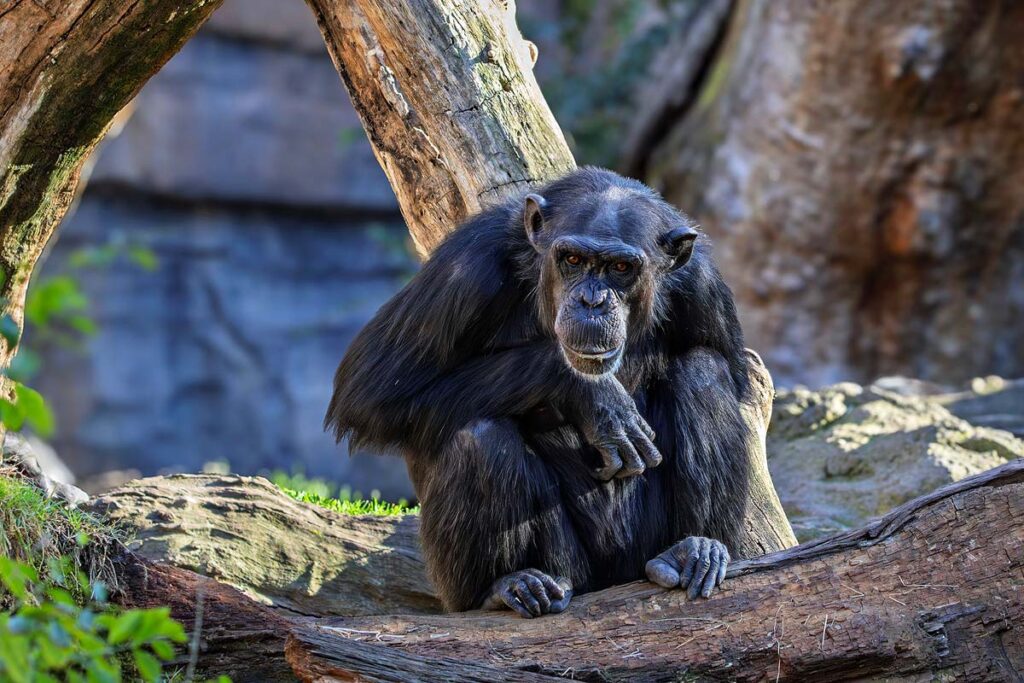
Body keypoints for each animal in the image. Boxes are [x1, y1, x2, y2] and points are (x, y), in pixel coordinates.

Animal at [326, 167, 752, 617]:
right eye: (573, 260)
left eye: (621, 267)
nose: (592, 300)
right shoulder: (465, 267)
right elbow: (373, 392)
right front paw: (592, 396)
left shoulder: (702, 284)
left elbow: (737, 379)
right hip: (550, 573)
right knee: (480, 439)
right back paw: (504, 585)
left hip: (640, 551)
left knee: (702, 372)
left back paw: (692, 548)